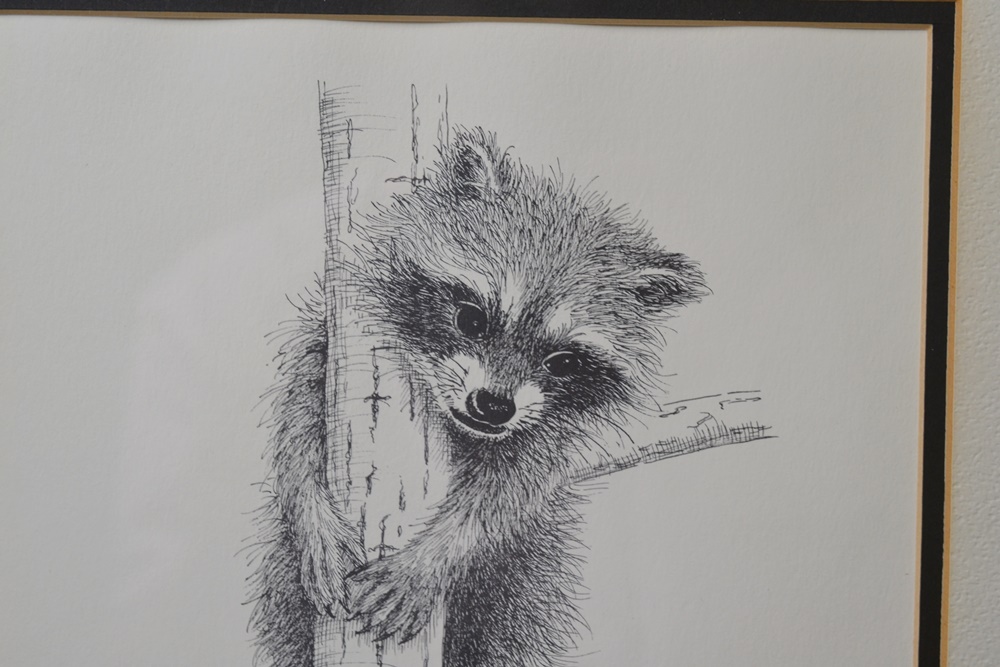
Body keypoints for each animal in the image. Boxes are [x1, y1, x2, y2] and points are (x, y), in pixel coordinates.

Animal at [344, 128, 708, 667]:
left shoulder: (546, 430)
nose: (493, 406)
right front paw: (310, 514)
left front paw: (435, 553)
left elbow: (507, 491)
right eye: (472, 318)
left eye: (563, 362)